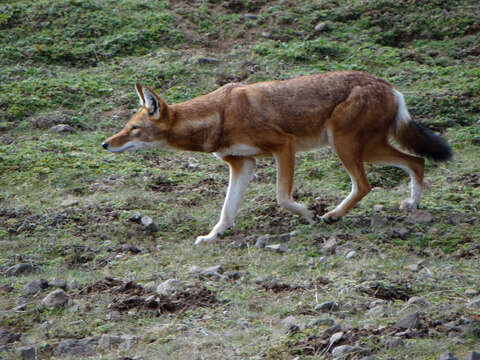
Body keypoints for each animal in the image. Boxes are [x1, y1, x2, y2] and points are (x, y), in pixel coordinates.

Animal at [103, 70, 452, 245]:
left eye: (133, 129)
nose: (106, 143)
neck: (220, 115)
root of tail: (391, 88)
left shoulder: (283, 146)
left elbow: (283, 198)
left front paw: (308, 214)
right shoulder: (242, 164)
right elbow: (226, 210)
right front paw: (213, 236)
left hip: (348, 147)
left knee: (369, 183)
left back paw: (332, 216)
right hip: (366, 149)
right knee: (416, 162)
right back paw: (412, 205)